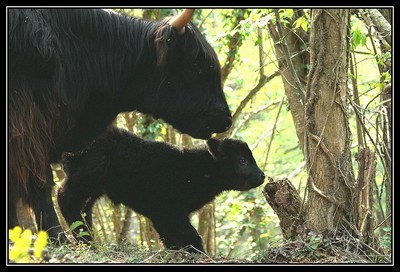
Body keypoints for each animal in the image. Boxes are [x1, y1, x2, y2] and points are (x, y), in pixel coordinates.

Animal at [55, 127, 262, 253]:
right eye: (242, 161)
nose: (262, 176)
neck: (194, 170)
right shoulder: (172, 212)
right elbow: (191, 236)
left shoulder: (161, 215)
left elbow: (170, 239)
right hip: (85, 177)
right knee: (64, 196)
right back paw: (84, 240)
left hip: (95, 187)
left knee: (83, 208)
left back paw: (87, 237)